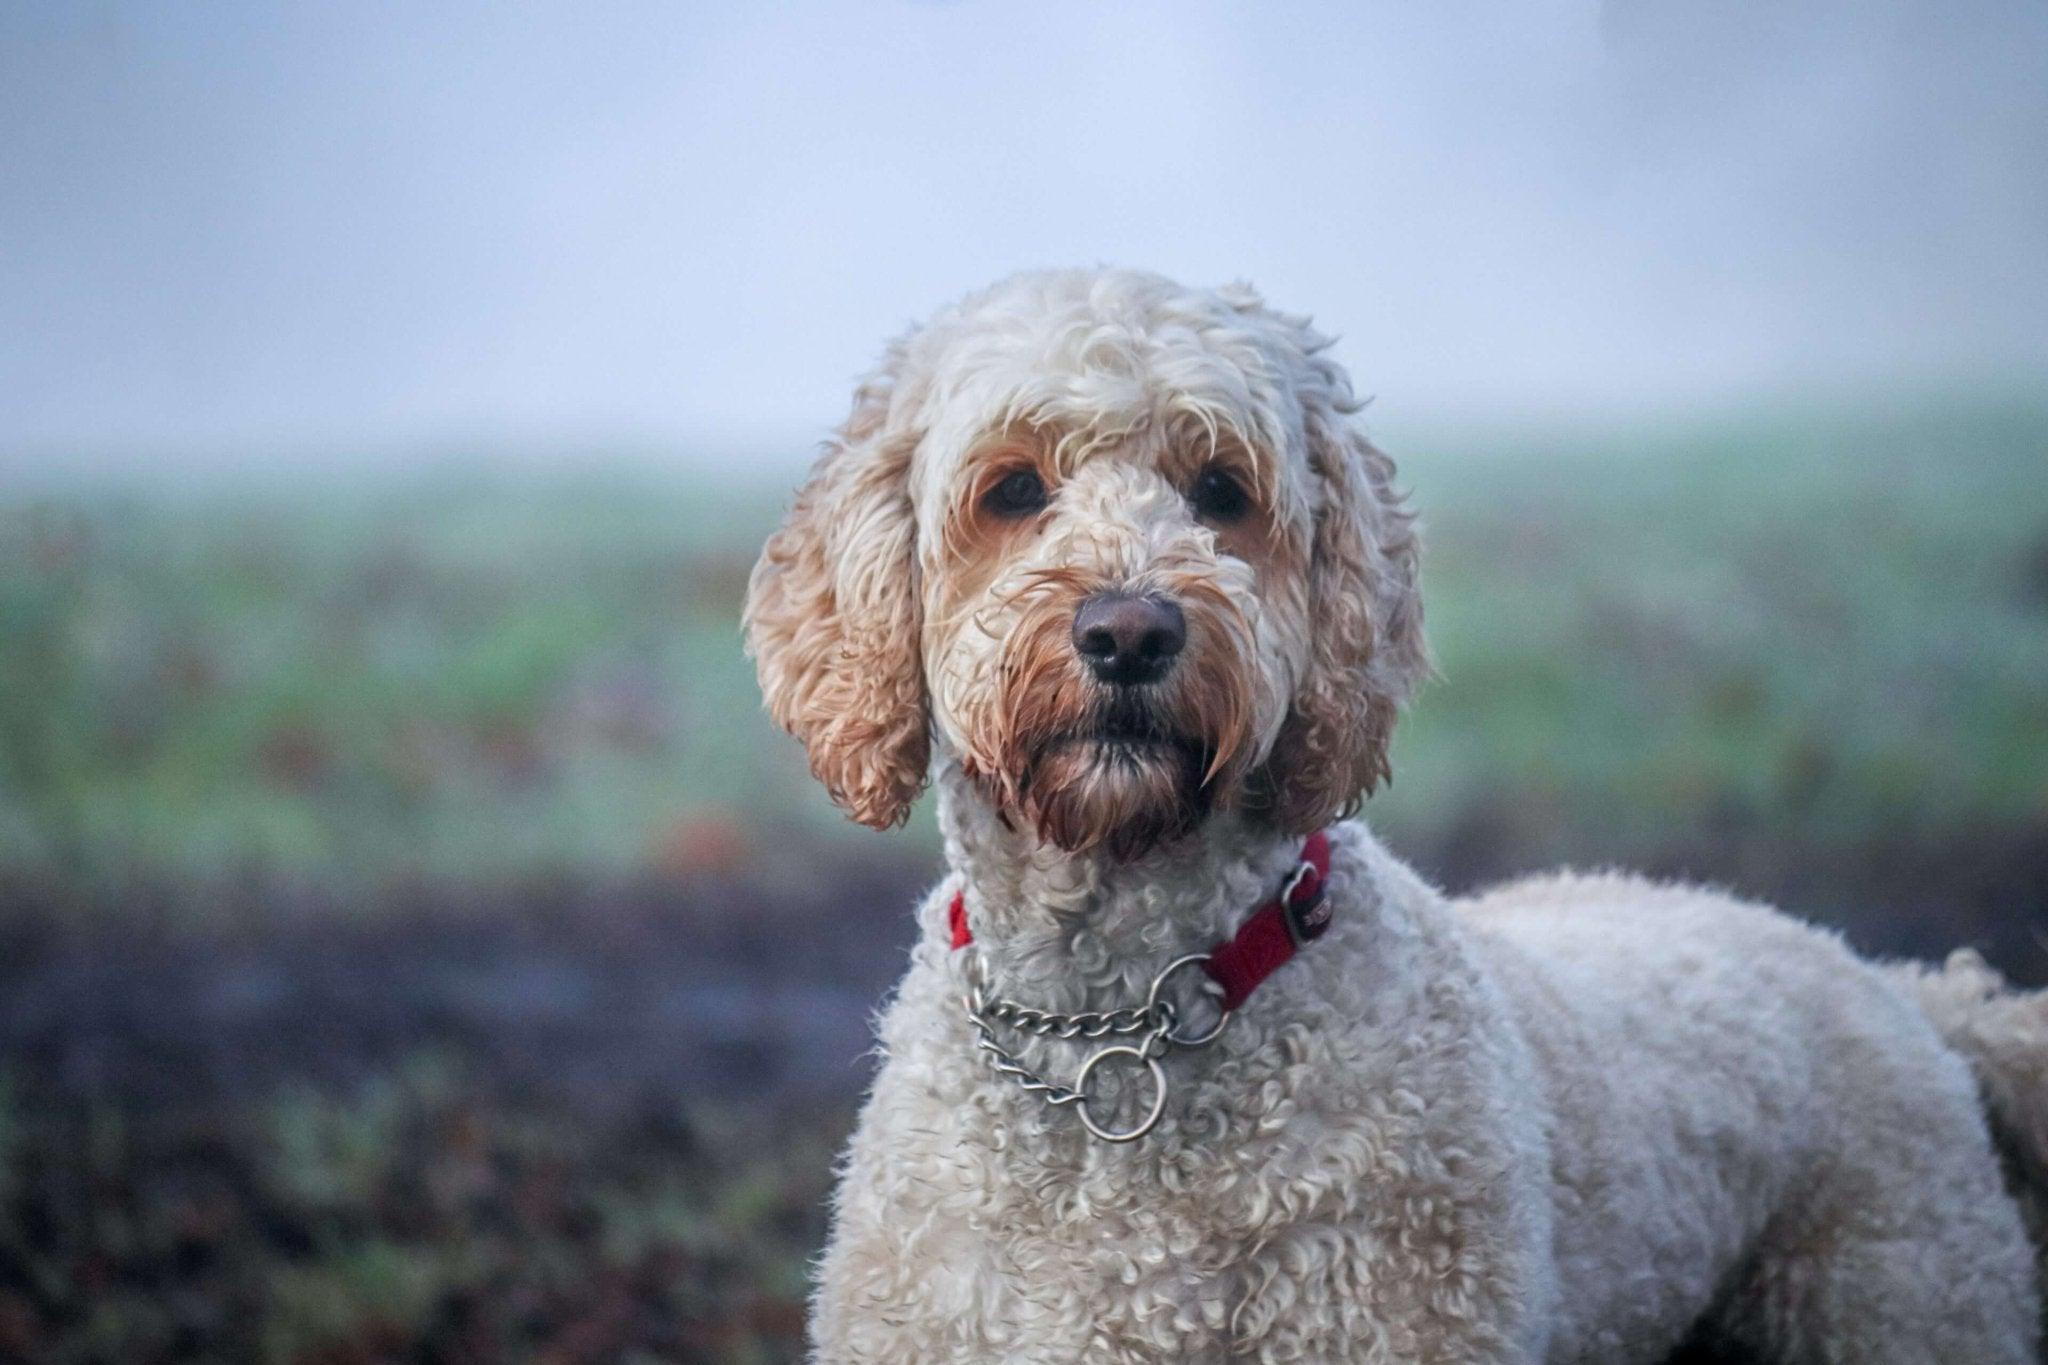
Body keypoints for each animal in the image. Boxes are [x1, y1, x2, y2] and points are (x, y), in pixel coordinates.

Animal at [749, 270, 2048, 1365]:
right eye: (1012, 490)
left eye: (1221, 491)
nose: (1128, 632)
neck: (1122, 1015)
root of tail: (1893, 986)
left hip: (1905, 1293)